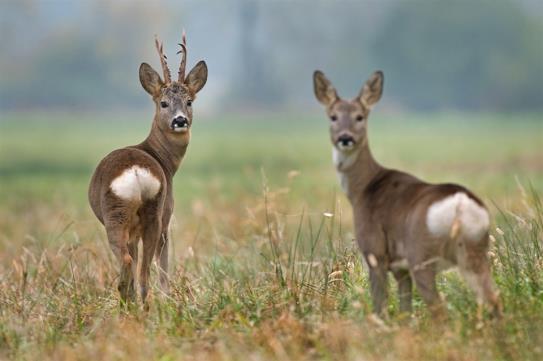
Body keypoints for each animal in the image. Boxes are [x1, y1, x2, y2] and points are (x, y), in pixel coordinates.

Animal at [89, 31, 208, 306]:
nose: (180, 120)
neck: (164, 160)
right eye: (163, 103)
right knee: (141, 267)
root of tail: (135, 172)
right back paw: (140, 305)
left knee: (133, 264)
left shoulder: (167, 213)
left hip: (124, 215)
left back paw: (133, 305)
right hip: (148, 213)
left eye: (189, 101)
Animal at [312, 70, 504, 318]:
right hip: (475, 249)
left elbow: (381, 306)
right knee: (493, 300)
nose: (345, 138)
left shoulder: (375, 252)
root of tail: (460, 203)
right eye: (333, 116)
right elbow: (405, 312)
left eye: (359, 117)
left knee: (440, 309)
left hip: (421, 254)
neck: (363, 188)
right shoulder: (400, 268)